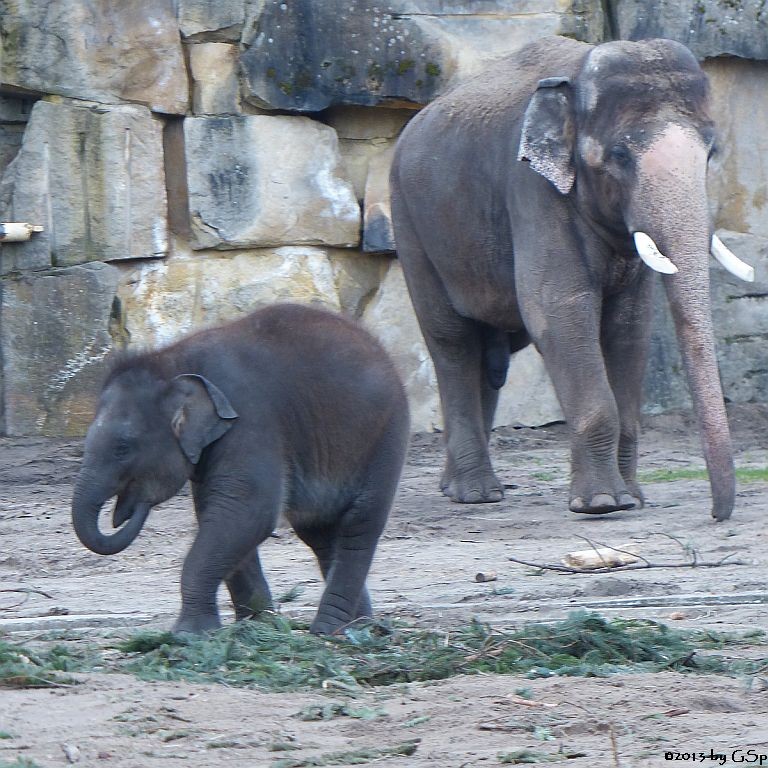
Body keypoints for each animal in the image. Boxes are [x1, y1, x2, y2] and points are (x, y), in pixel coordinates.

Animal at [71, 304, 408, 636]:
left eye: (123, 448)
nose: (132, 507)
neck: (172, 361)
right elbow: (221, 514)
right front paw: (255, 625)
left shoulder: (250, 421)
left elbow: (247, 512)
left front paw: (188, 636)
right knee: (320, 533)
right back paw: (361, 628)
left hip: (386, 437)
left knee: (358, 526)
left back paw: (328, 632)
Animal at [392, 33, 752, 520]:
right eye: (619, 155)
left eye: (711, 153)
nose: (717, 514)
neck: (579, 73)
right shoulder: (532, 191)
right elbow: (558, 312)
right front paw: (601, 504)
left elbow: (629, 326)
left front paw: (632, 499)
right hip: (412, 226)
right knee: (452, 341)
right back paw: (477, 494)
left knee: (490, 355)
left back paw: (458, 488)